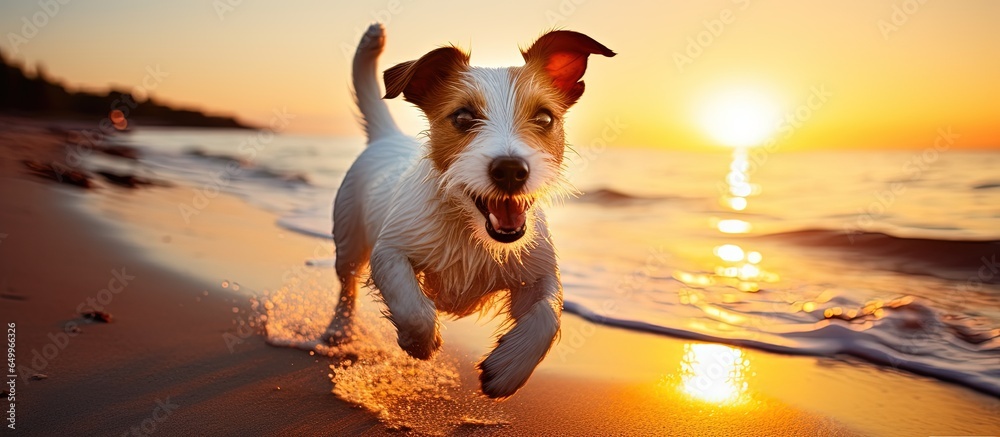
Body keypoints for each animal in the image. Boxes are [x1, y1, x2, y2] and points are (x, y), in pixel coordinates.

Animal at [324, 24, 612, 398]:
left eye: (544, 117)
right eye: (463, 117)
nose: (510, 170)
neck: (470, 231)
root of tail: (386, 137)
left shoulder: (539, 271)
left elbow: (549, 313)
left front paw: (510, 368)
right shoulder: (391, 250)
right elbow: (412, 306)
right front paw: (419, 341)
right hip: (348, 241)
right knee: (347, 285)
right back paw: (339, 329)